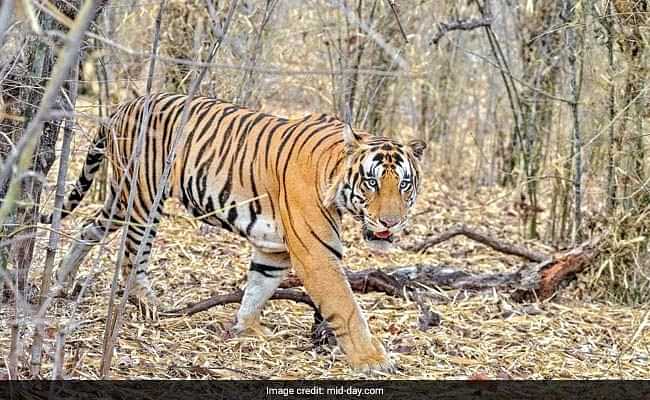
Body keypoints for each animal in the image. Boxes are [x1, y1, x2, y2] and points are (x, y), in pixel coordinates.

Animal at [41, 93, 426, 371]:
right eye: (371, 182)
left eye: (404, 184)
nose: (391, 222)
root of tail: (125, 104)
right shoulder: (316, 254)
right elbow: (346, 308)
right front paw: (372, 359)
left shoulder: (274, 249)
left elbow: (258, 287)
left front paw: (247, 329)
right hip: (143, 199)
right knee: (133, 255)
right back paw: (146, 304)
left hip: (120, 200)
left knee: (89, 227)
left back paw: (62, 280)